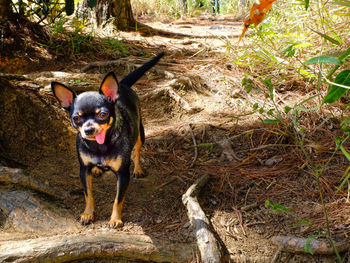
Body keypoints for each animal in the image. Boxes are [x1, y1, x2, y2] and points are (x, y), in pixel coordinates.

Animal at [51, 53, 164, 229]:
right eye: (76, 118)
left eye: (102, 114)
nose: (89, 129)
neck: (99, 146)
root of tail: (121, 85)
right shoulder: (83, 170)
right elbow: (88, 194)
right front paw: (88, 214)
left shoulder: (123, 175)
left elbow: (118, 200)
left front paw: (115, 219)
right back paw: (98, 169)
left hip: (140, 133)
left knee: (137, 150)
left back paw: (138, 169)